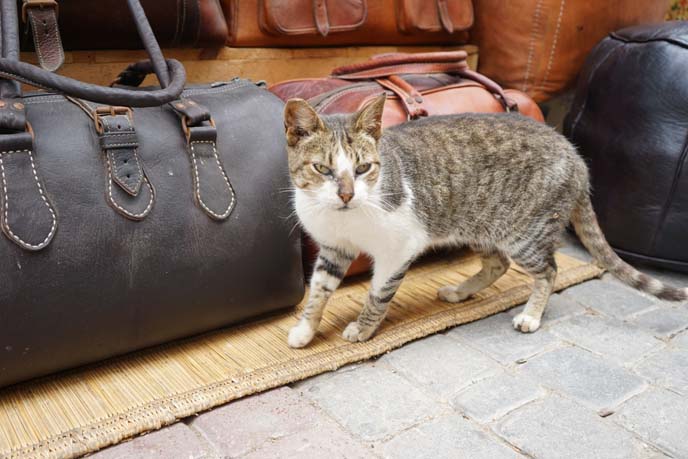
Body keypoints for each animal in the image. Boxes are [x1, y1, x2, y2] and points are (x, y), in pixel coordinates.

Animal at [280, 94, 688, 348]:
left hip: (524, 233)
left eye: (363, 168)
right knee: (498, 264)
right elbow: (319, 292)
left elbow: (377, 295)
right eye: (322, 169)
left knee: (549, 270)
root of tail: (575, 155)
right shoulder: (334, 248)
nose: (347, 195)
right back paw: (461, 291)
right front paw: (306, 330)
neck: (346, 221)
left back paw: (531, 315)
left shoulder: (398, 248)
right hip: (481, 225)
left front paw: (363, 329)